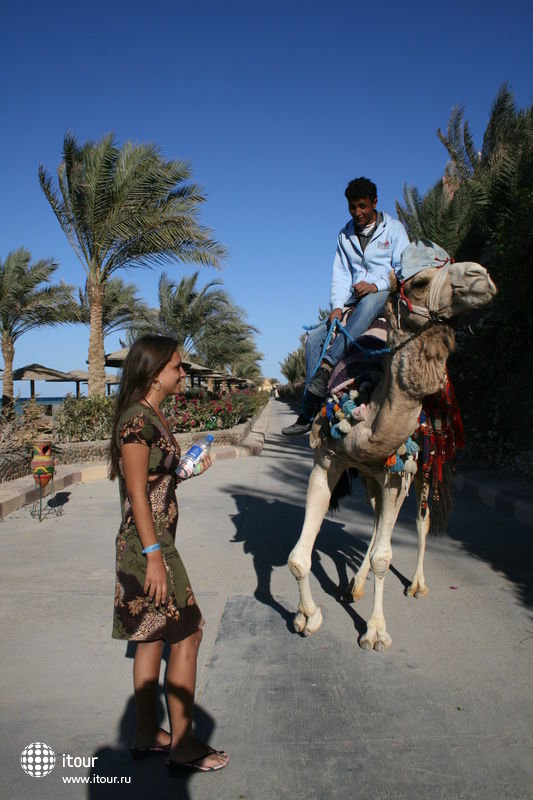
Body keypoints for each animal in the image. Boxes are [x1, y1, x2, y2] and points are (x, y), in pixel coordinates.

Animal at [286, 248, 494, 648]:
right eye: (420, 283)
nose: (482, 275)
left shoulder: (399, 473)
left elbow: (386, 555)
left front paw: (375, 631)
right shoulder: (328, 460)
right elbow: (299, 557)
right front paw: (307, 617)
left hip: (426, 463)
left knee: (420, 521)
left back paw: (416, 585)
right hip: (372, 475)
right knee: (376, 516)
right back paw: (354, 585)